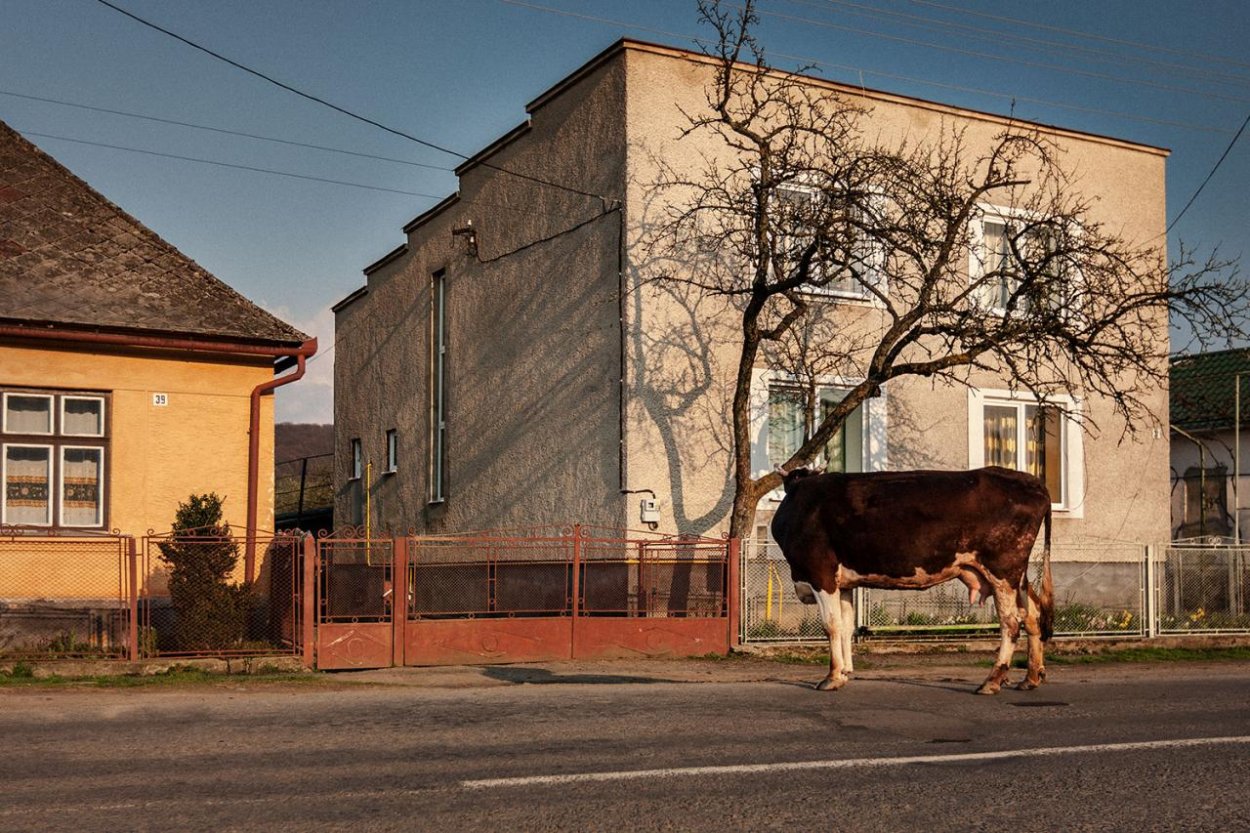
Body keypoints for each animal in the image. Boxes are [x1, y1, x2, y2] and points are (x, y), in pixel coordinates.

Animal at [770, 462, 1055, 690]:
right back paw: (1030, 678)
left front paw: (832, 677)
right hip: (1016, 575)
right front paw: (845, 671)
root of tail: (1033, 482)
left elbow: (831, 625)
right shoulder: (845, 583)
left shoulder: (821, 573)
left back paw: (993, 680)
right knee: (1032, 615)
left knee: (1011, 622)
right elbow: (846, 626)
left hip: (1002, 571)